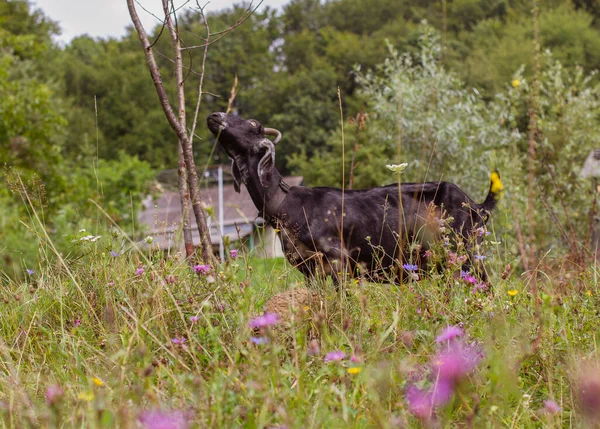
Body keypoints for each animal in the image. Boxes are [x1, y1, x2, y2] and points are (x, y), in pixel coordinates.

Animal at [207, 112, 502, 282]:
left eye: (253, 124)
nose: (215, 114)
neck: (286, 204)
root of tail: (477, 206)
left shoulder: (338, 261)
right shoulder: (308, 269)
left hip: (465, 253)